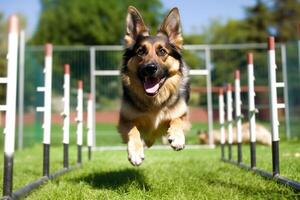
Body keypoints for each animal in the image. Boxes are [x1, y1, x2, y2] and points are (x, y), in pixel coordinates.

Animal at [118, 6, 190, 166]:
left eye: (162, 51)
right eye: (140, 51)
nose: (150, 68)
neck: (154, 101)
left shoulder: (183, 117)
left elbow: (177, 119)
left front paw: (177, 137)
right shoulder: (124, 121)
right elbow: (133, 129)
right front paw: (135, 152)